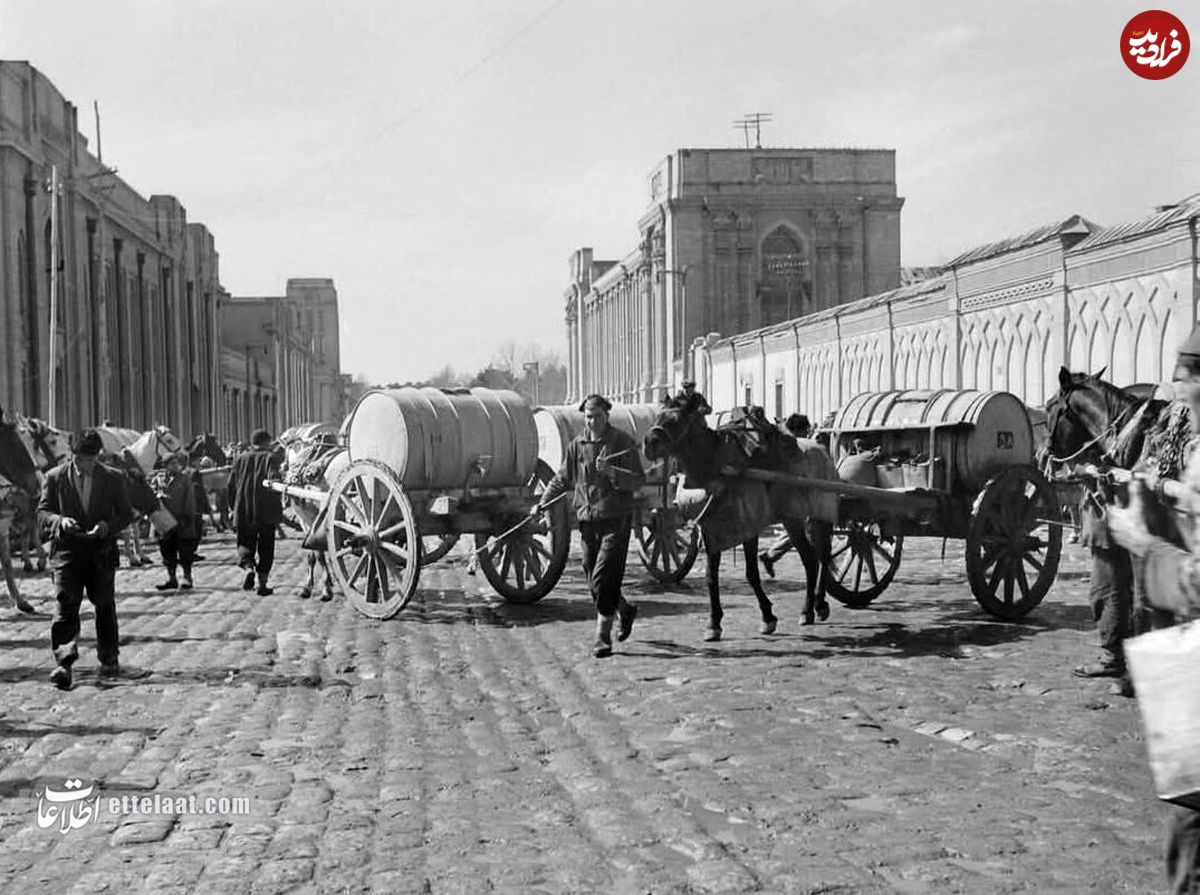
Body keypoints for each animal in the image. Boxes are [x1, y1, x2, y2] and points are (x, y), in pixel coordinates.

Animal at [648, 393, 835, 638]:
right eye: (658, 416)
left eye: (676, 419)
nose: (649, 444)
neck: (718, 466)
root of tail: (820, 447)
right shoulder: (712, 529)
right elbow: (711, 576)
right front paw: (714, 623)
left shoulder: (749, 527)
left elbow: (751, 573)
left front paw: (767, 616)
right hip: (802, 516)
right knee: (819, 556)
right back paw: (817, 605)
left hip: (803, 515)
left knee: (813, 558)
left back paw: (809, 609)